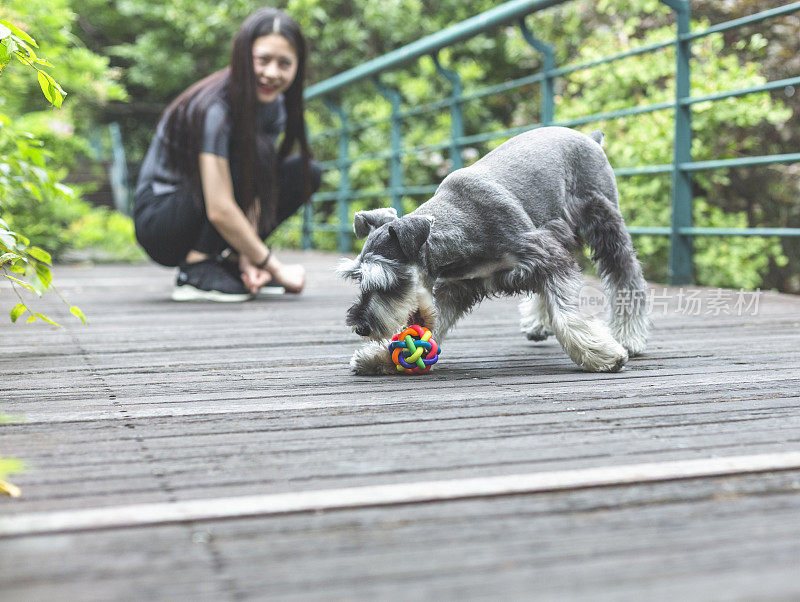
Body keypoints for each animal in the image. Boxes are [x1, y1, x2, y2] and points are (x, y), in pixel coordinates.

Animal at [338, 125, 648, 372]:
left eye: (388, 282)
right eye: (359, 279)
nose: (361, 327)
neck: (460, 224)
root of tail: (589, 137)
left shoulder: (546, 257)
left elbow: (567, 316)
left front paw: (602, 355)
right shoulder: (458, 286)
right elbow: (437, 320)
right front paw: (379, 357)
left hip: (604, 222)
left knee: (626, 275)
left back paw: (629, 337)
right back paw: (538, 323)